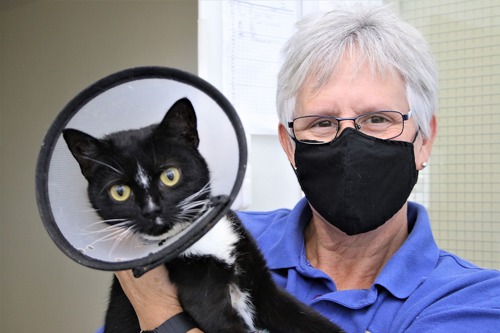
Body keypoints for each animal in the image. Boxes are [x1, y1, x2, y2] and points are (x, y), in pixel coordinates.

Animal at [63, 97, 344, 330]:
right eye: (119, 191)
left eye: (170, 175)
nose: (152, 211)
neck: (198, 237)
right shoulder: (205, 299)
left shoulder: (261, 284)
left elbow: (311, 320)